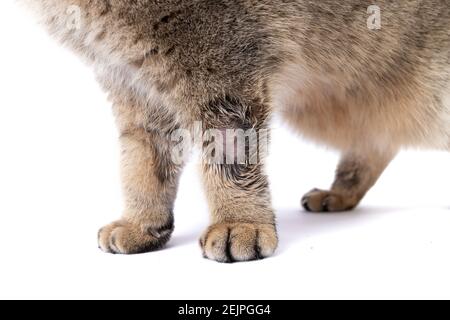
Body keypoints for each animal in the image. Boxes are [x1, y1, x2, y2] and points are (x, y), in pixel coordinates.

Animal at [16, 0, 446, 262]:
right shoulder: (134, 88)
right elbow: (141, 166)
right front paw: (142, 225)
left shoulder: (224, 77)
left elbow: (230, 163)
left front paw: (240, 223)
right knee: (377, 142)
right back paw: (339, 193)